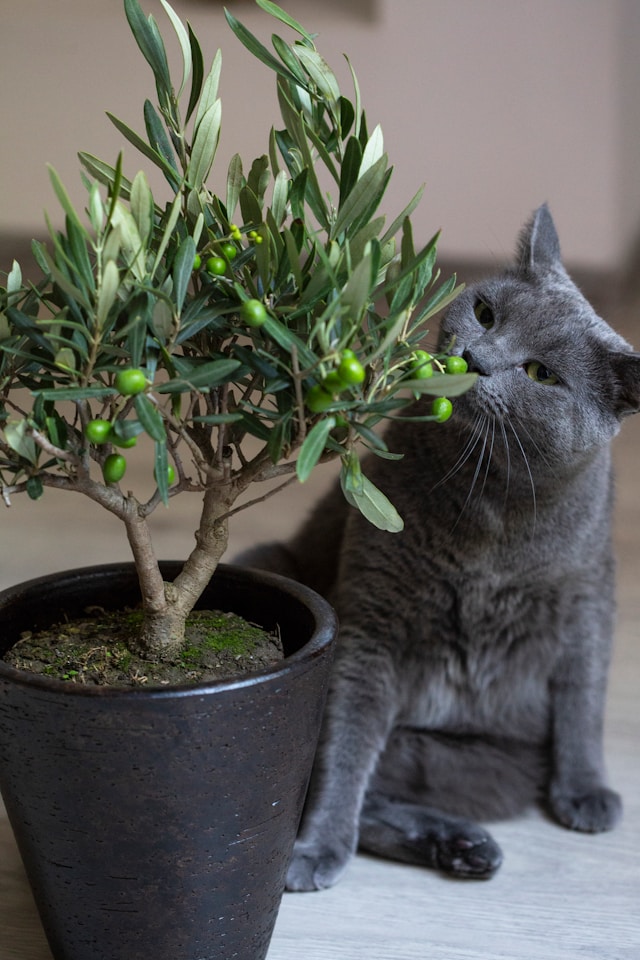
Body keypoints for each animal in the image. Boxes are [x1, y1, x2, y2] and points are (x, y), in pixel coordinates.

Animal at [239, 206, 636, 888]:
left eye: (541, 374)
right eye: (486, 313)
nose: (474, 357)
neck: (491, 504)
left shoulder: (588, 599)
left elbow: (584, 698)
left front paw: (586, 791)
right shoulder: (371, 621)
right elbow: (343, 749)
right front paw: (318, 846)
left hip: (490, 765)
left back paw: (465, 846)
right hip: (267, 564)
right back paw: (443, 846)